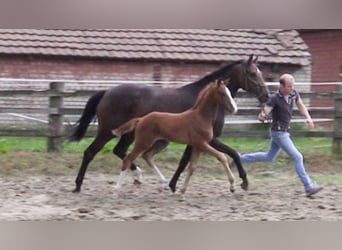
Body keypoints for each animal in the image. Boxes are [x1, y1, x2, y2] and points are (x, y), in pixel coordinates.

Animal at [69, 53, 268, 192]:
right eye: (252, 73)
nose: (266, 96)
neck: (206, 105)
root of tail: (107, 92)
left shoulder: (198, 141)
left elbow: (186, 161)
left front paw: (172, 185)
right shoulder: (209, 139)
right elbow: (232, 153)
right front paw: (244, 181)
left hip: (130, 133)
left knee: (121, 151)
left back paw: (139, 176)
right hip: (107, 131)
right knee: (90, 153)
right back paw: (78, 185)